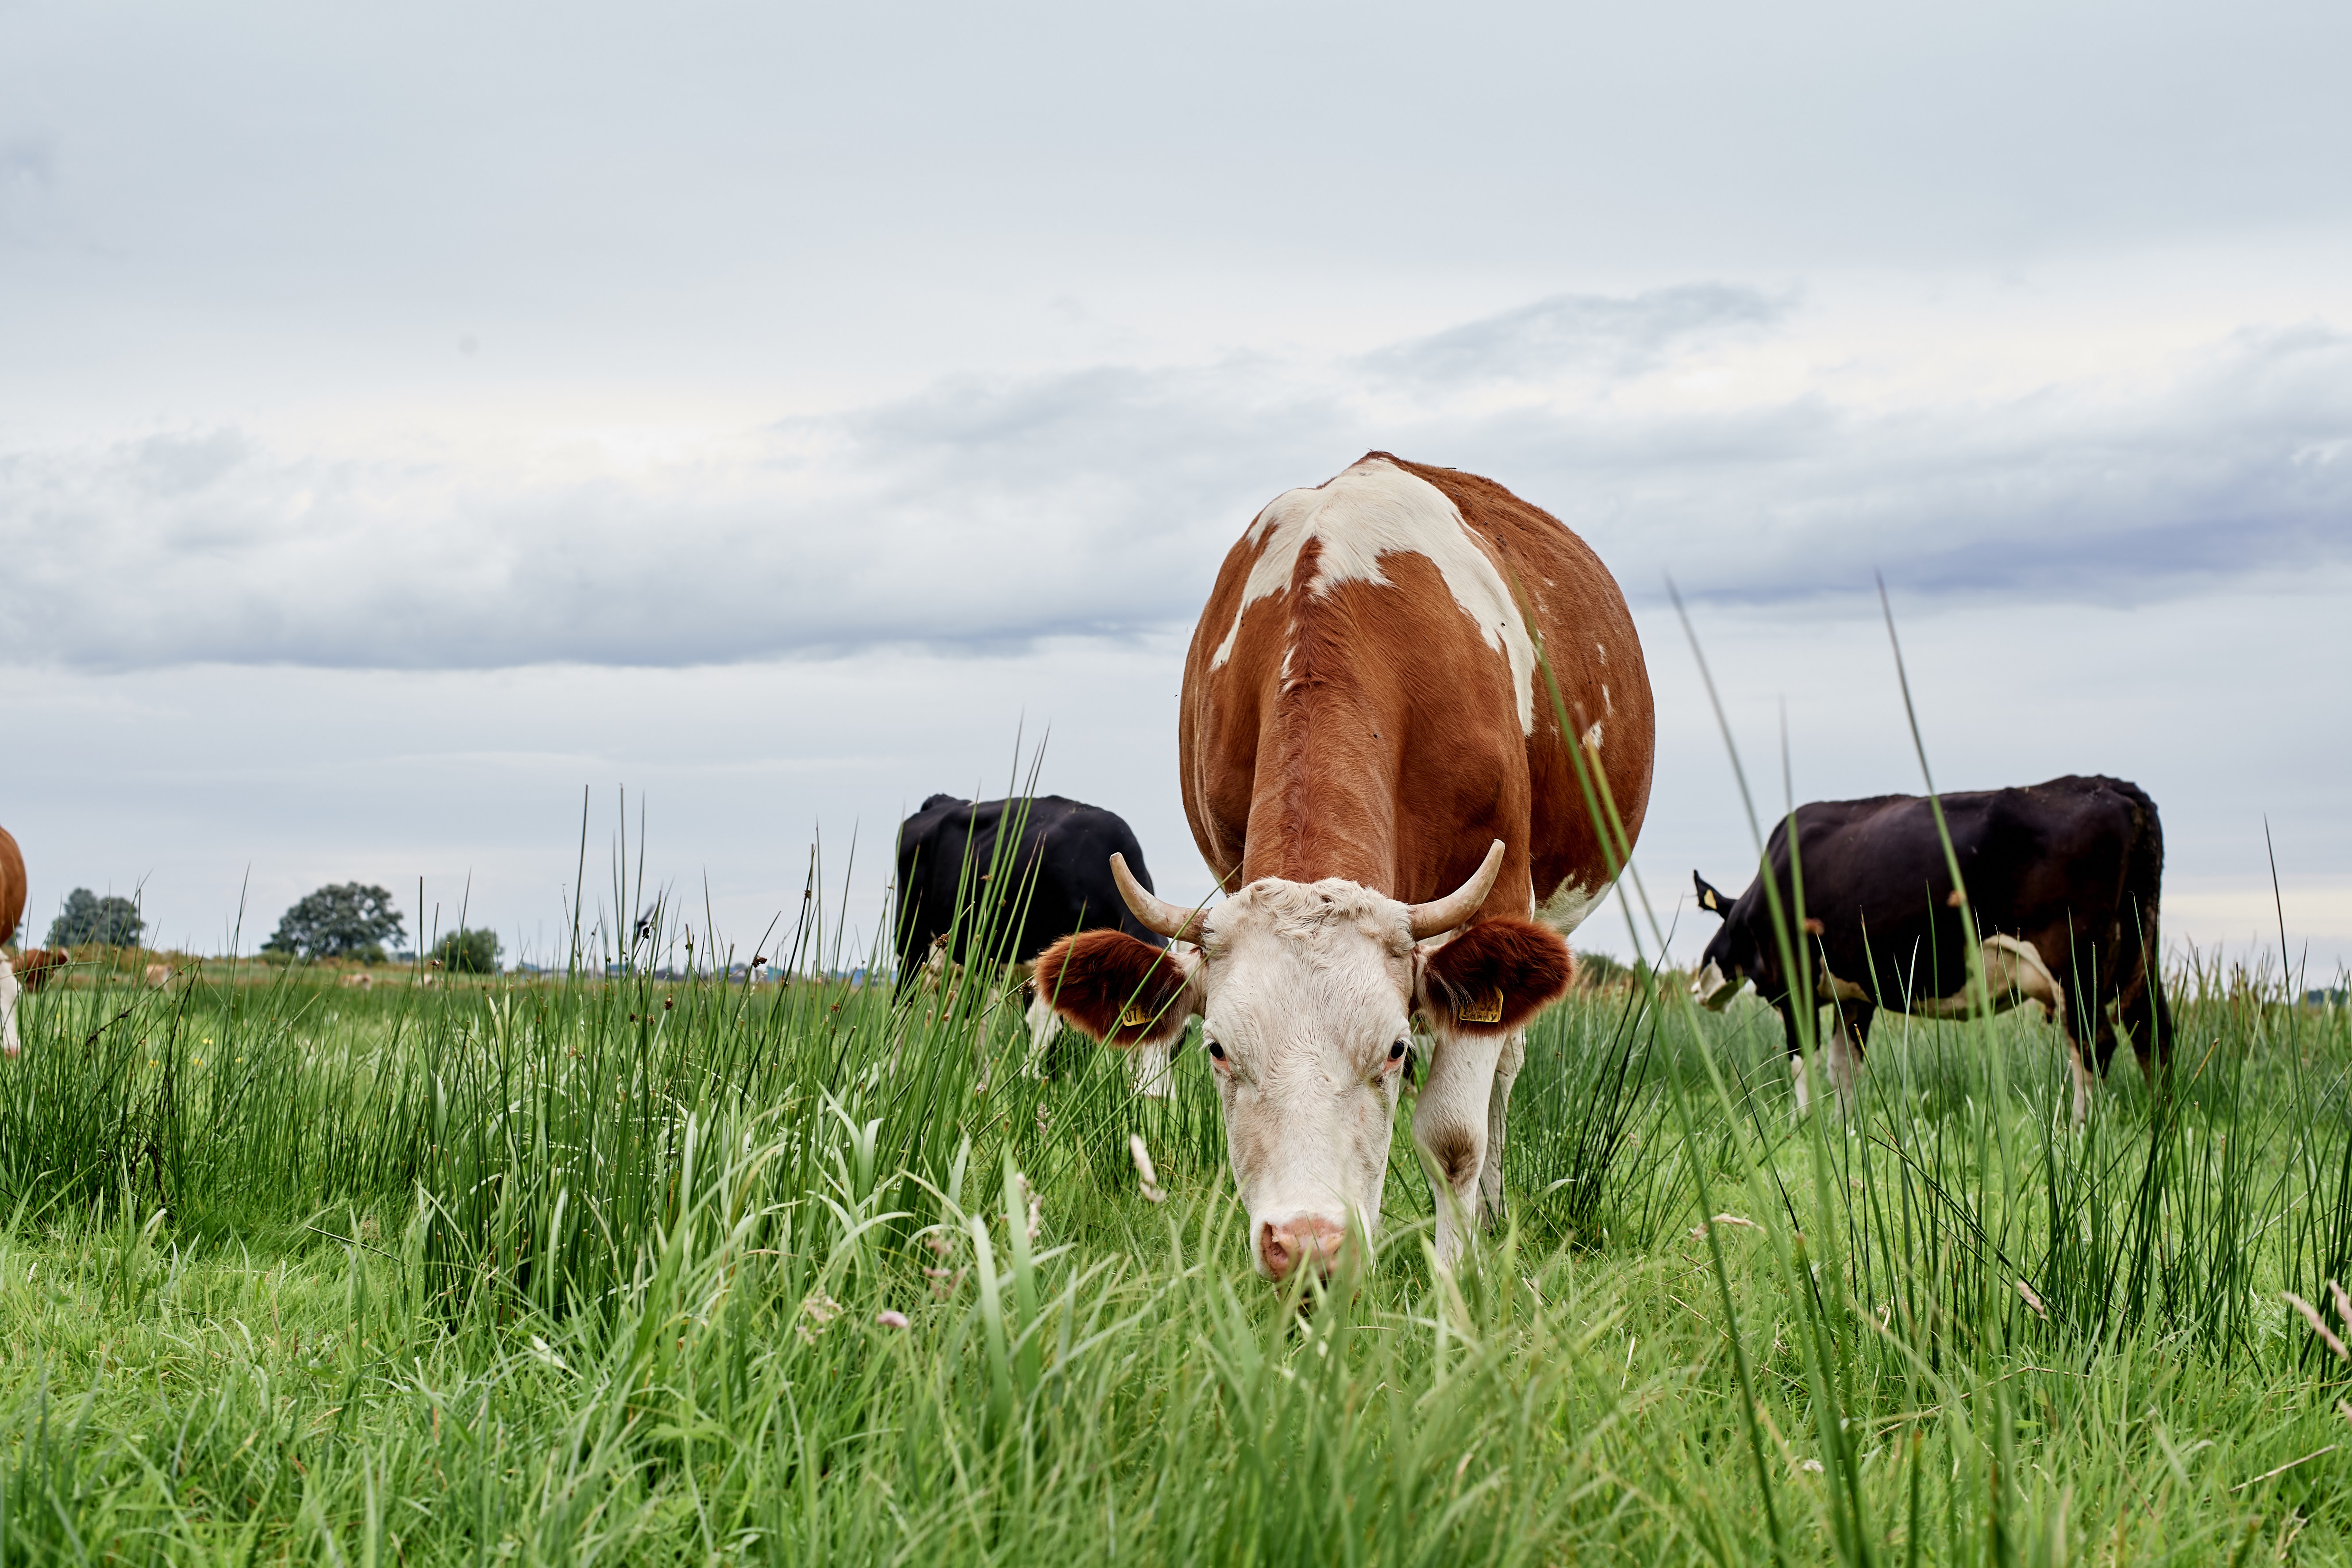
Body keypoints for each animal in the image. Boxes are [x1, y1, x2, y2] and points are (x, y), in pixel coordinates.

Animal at [889, 799, 1176, 1090]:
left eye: (1180, 1043)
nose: (1156, 1098)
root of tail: (942, 801)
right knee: (900, 1015)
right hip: (911, 953)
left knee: (976, 1025)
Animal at [1030, 451, 1655, 1279]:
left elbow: (1453, 1137)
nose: (1306, 1243)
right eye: (1217, 1049)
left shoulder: (1498, 898)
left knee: (1503, 1071)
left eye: (1391, 1049)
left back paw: (1490, 1215)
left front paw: (1455, 1282)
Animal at [1703, 775, 2173, 1124]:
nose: (1699, 986)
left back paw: (2078, 1132)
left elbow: (1803, 1058)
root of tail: (2109, 785)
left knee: (2096, 1043)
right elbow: (1844, 1065)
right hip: (2140, 953)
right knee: (2152, 1033)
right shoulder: (1854, 994)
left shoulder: (1794, 980)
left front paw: (1805, 1124)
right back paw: (2159, 1126)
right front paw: (1843, 1127)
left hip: (2075, 963)